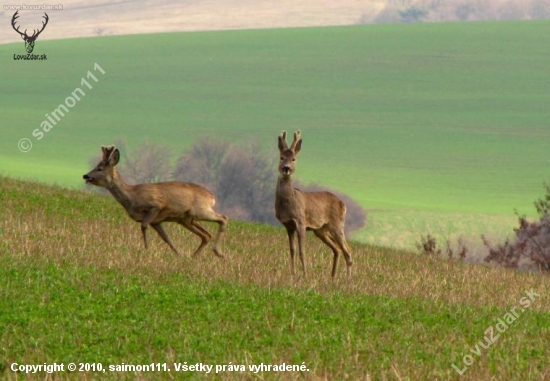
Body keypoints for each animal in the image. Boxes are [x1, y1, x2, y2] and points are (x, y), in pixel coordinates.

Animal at [82, 144, 229, 256]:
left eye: (100, 168)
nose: (85, 176)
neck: (132, 197)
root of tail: (212, 196)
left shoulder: (156, 206)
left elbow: (143, 226)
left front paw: (146, 249)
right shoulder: (156, 221)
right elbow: (166, 237)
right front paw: (179, 254)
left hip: (199, 210)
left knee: (223, 218)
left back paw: (218, 252)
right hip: (186, 219)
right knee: (206, 235)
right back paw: (194, 256)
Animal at [276, 130, 354, 276]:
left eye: (294, 159)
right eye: (281, 157)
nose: (286, 168)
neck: (288, 202)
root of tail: (343, 204)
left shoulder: (300, 221)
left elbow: (302, 251)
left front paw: (305, 275)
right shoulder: (288, 225)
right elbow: (292, 251)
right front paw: (293, 274)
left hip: (337, 224)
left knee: (348, 251)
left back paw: (348, 280)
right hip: (321, 230)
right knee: (337, 249)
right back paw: (332, 277)